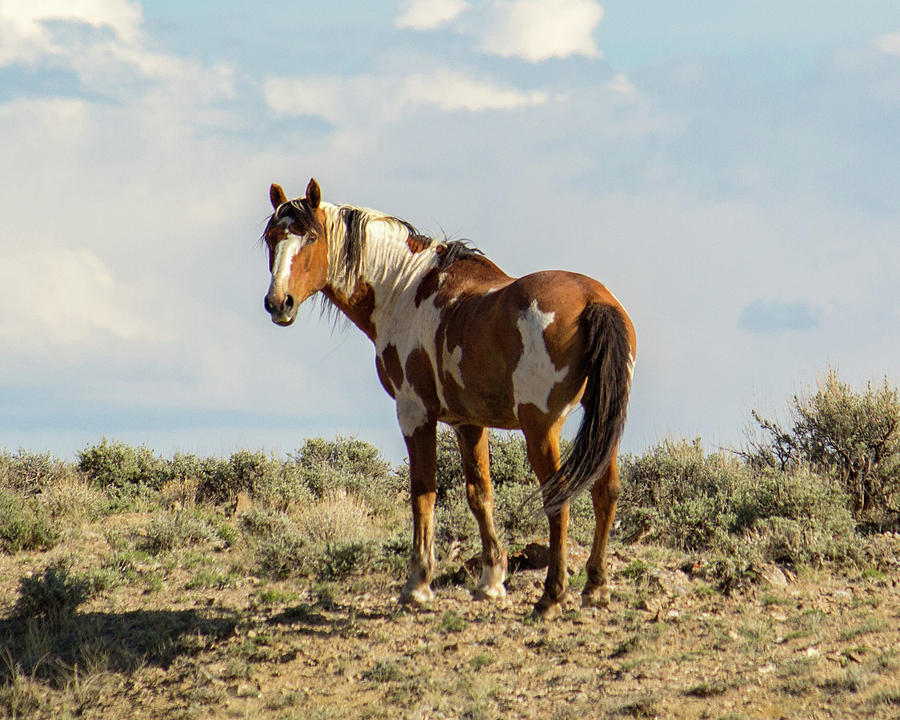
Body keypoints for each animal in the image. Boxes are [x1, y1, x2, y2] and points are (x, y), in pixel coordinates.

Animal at [260, 179, 636, 620]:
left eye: (312, 237)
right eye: (272, 238)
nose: (278, 303)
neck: (405, 290)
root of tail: (595, 301)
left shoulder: (414, 413)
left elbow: (423, 493)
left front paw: (417, 585)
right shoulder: (468, 422)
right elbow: (479, 494)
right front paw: (491, 581)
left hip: (541, 427)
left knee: (558, 499)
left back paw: (551, 596)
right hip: (603, 422)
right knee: (605, 491)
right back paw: (596, 587)